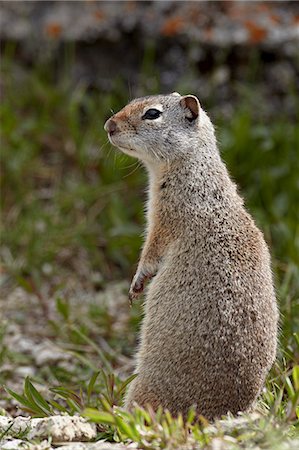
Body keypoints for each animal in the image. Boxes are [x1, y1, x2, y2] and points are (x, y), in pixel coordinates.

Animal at [104, 93, 280, 420]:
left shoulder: (164, 219)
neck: (193, 164)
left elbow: (150, 253)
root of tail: (222, 413)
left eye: (152, 114)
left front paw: (137, 284)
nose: (109, 126)